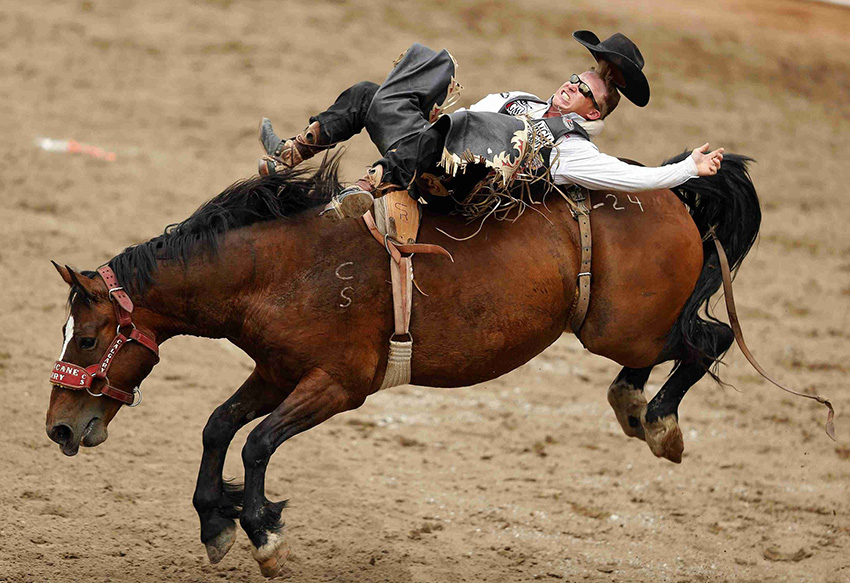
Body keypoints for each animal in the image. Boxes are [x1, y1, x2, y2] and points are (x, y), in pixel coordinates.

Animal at [44, 153, 760, 576]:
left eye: (87, 340)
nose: (58, 427)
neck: (280, 270)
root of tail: (670, 191)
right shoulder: (276, 370)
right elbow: (219, 426)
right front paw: (217, 522)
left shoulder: (336, 386)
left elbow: (257, 443)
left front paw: (263, 532)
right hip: (621, 333)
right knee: (677, 351)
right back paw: (637, 407)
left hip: (624, 329)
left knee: (709, 339)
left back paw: (660, 422)